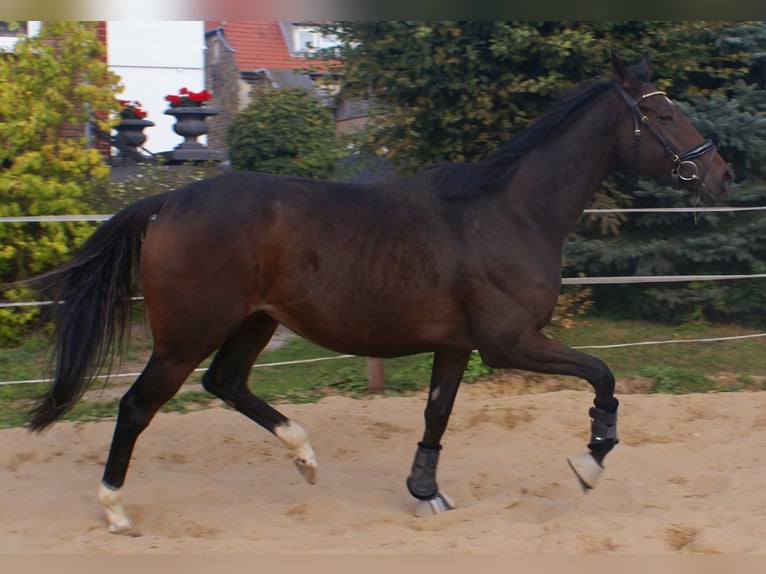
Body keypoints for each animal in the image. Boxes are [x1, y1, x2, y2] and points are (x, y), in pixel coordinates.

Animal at [27, 54, 733, 535]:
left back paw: (304, 456)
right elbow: (603, 376)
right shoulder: (509, 343)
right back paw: (117, 512)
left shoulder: (457, 346)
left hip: (254, 322)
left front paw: (427, 493)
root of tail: (165, 203)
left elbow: (436, 416)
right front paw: (589, 464)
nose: (722, 173)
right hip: (186, 335)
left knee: (225, 383)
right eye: (663, 113)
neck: (508, 212)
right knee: (137, 407)